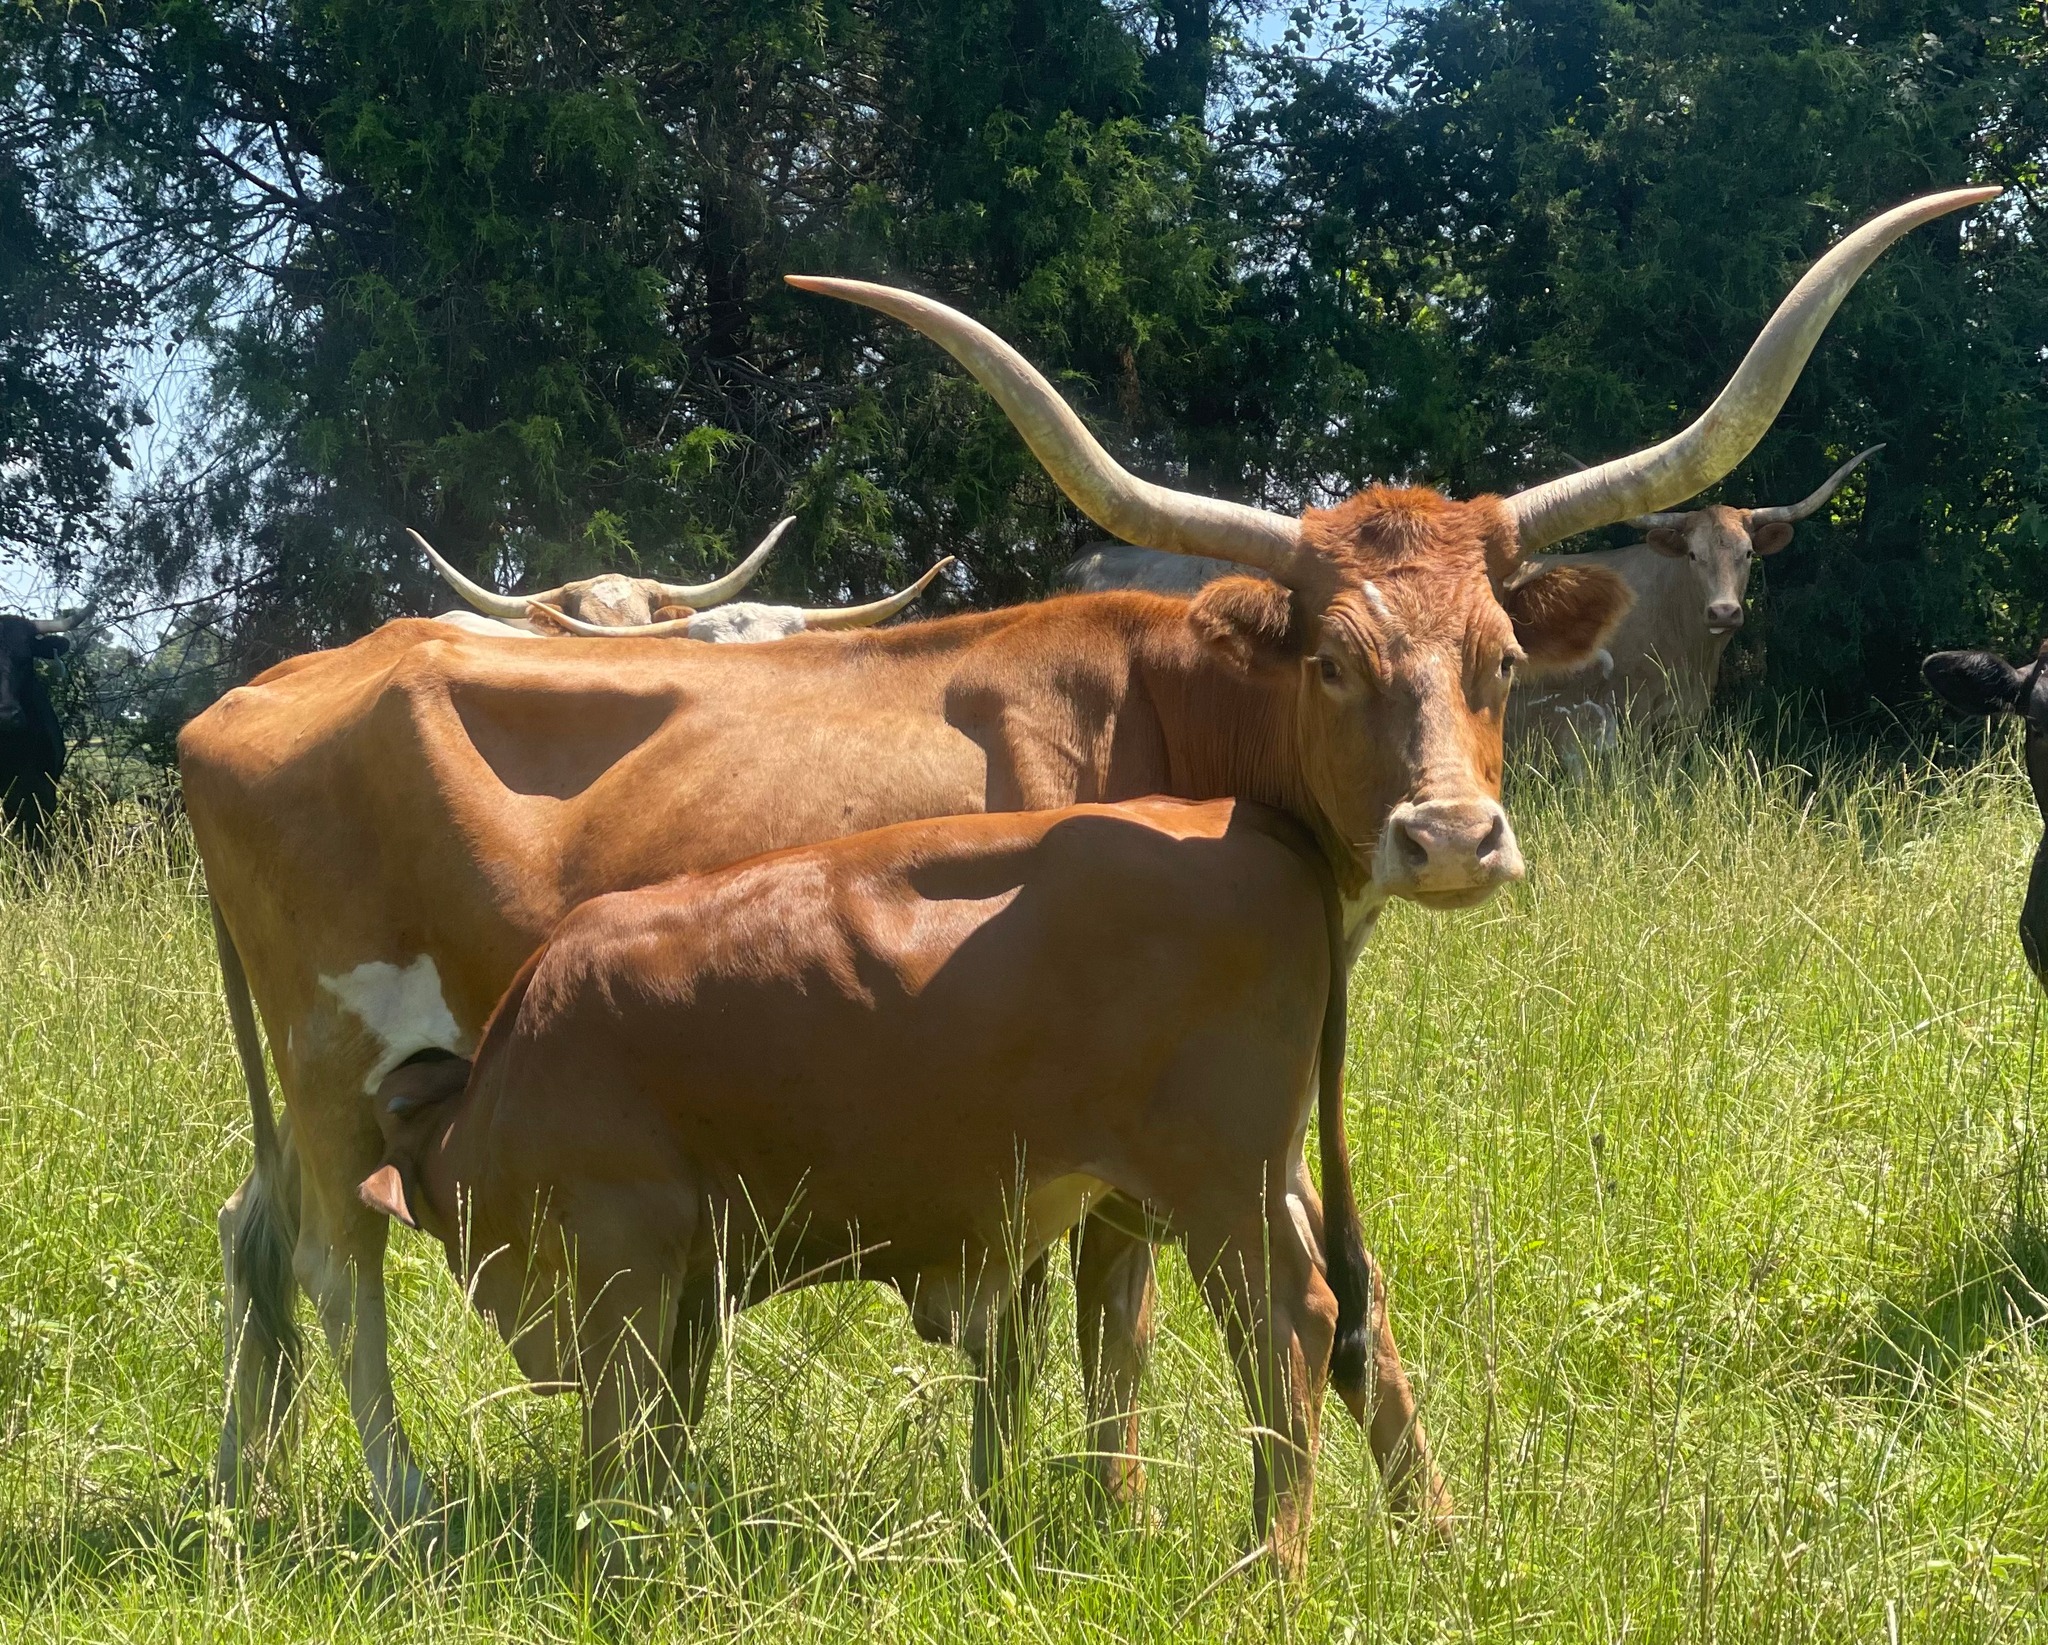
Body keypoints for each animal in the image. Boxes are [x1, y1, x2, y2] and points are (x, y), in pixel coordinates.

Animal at [358, 797, 1392, 1576]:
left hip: (1225, 1191)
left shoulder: (624, 1248)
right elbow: (667, 1425)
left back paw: (1270, 1566)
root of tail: (1233, 814)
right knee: (1355, 1317)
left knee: (1291, 1328)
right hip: (1266, 1180)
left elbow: (620, 1424)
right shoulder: (695, 1277)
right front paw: (659, 1531)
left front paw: (609, 1555)